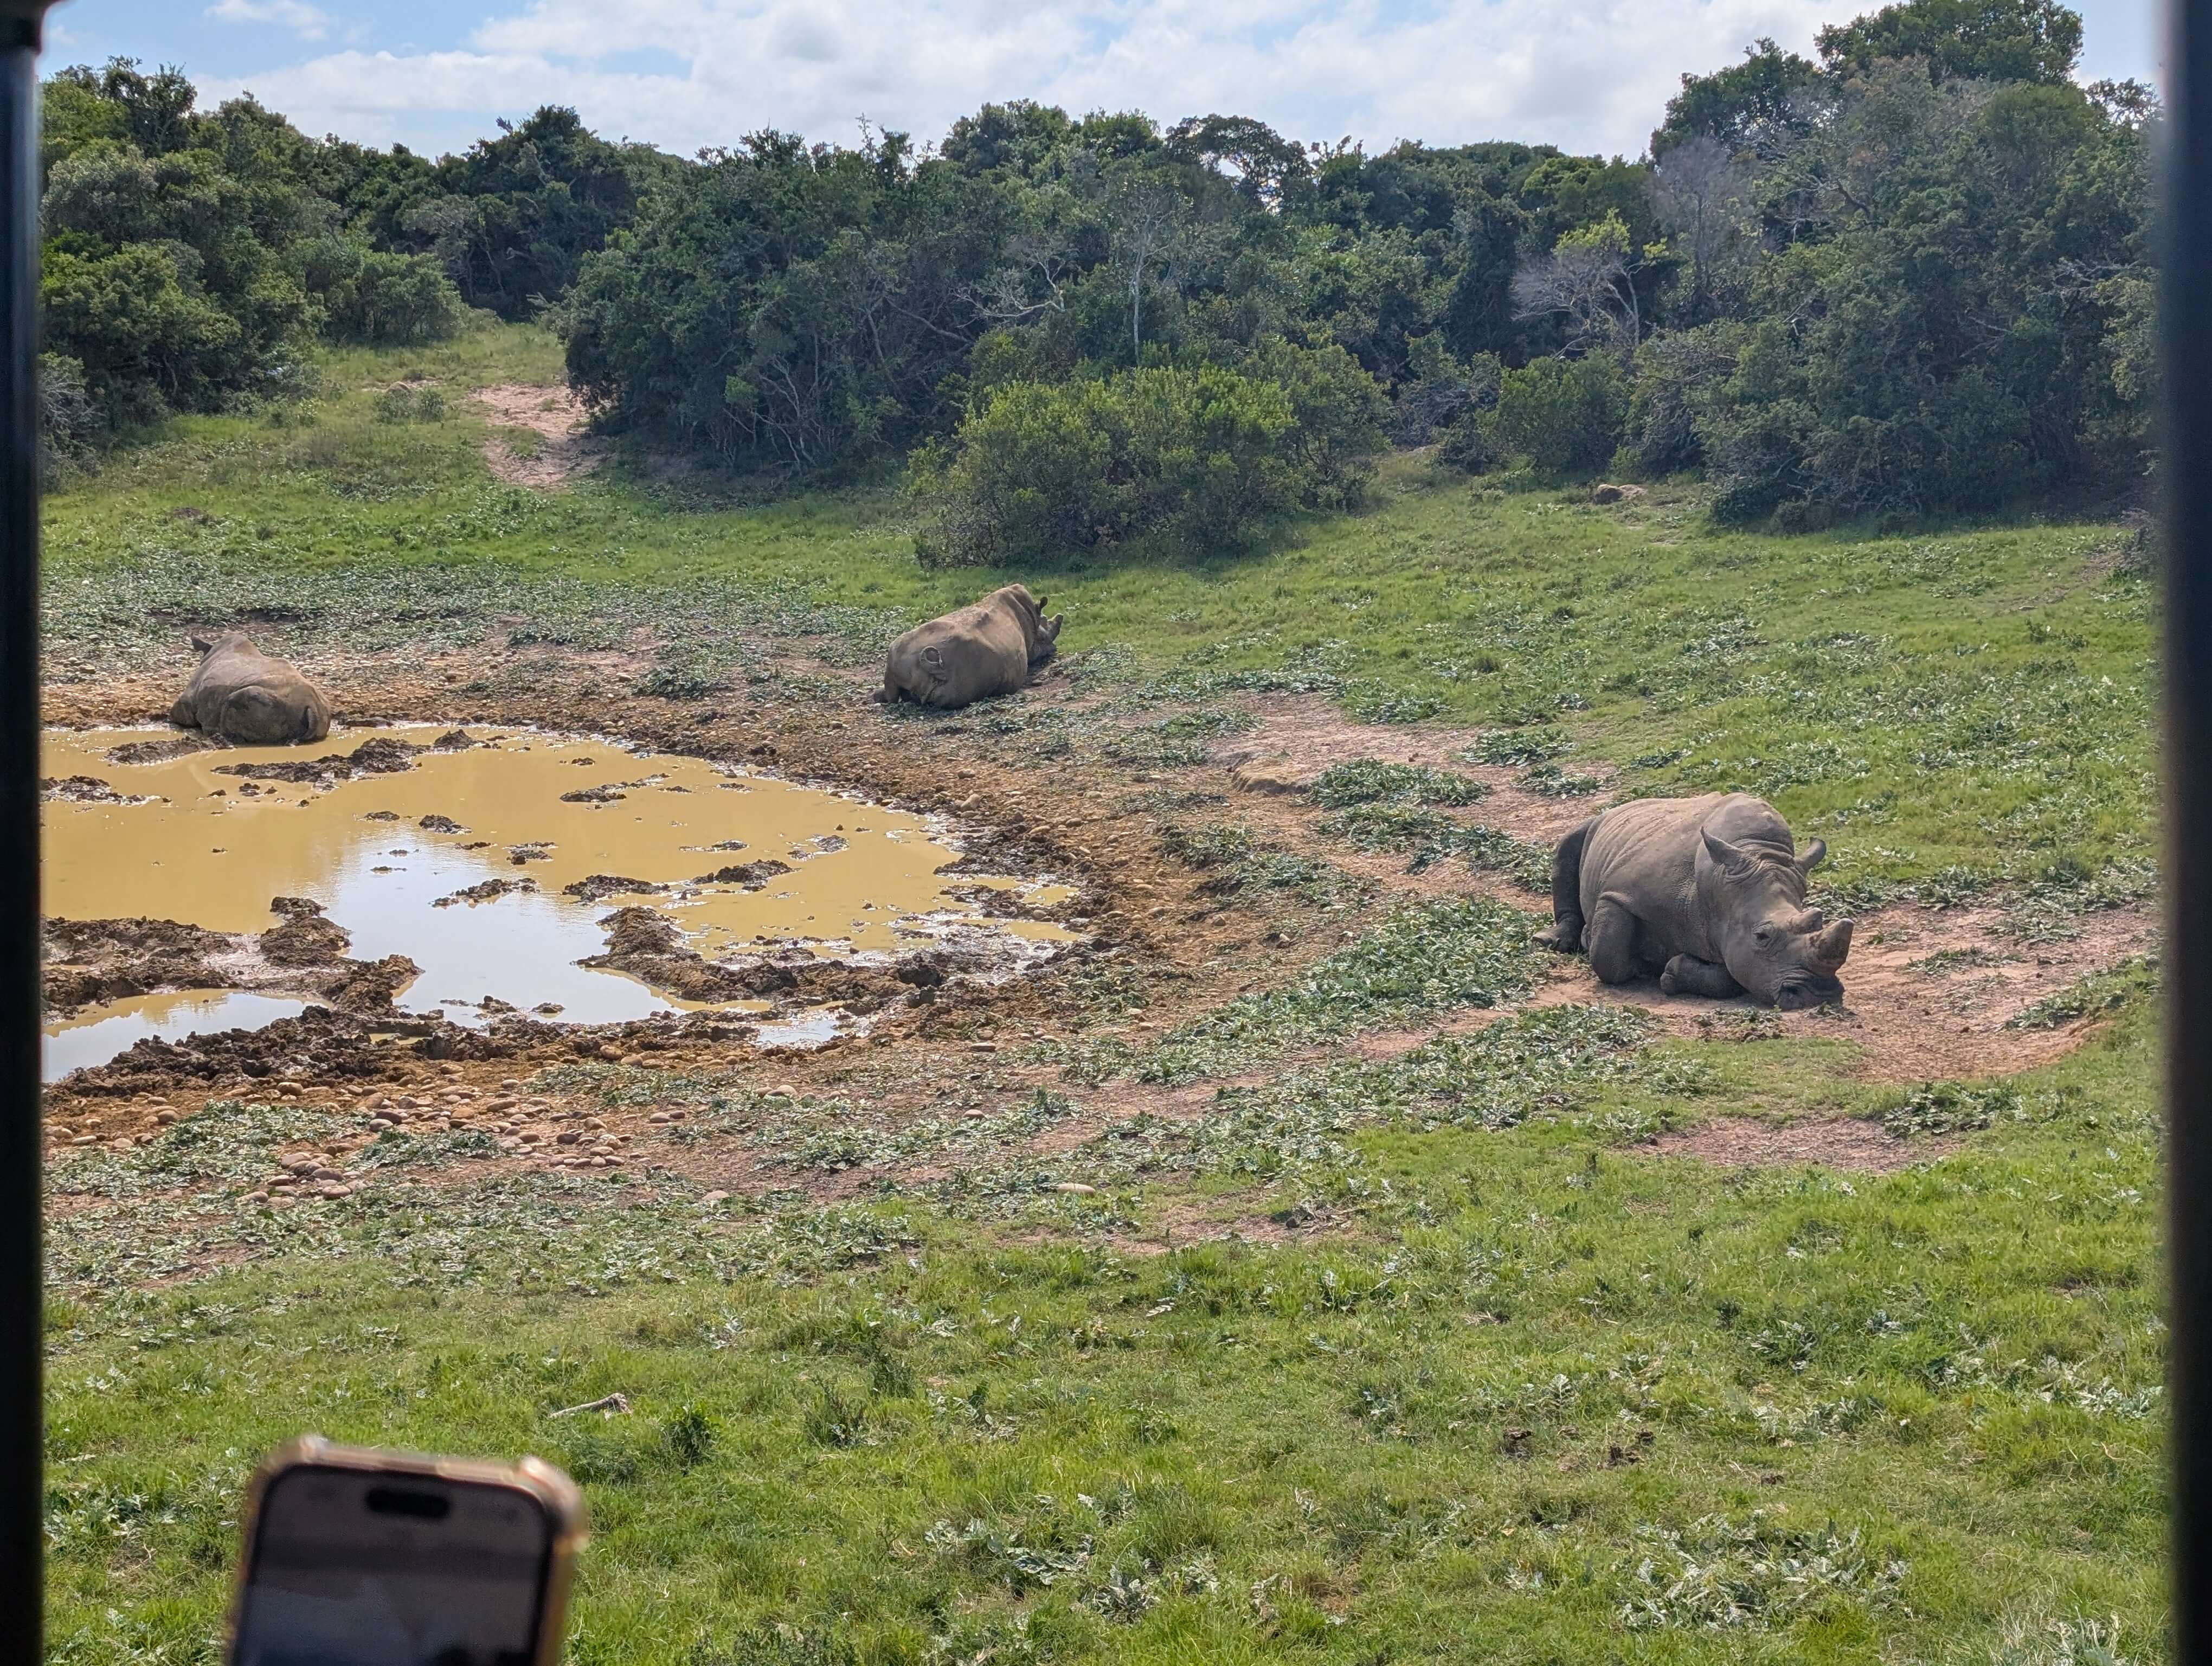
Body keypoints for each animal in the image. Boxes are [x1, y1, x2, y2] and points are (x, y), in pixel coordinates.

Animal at [169, 632, 332, 746]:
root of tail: (313, 709)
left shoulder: (187, 700)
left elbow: (177, 714)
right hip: (318, 708)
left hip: (273, 704)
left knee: (236, 699)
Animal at [877, 585, 1063, 710]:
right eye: (1047, 628)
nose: (1055, 648)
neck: (1035, 616)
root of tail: (932, 667)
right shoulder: (1033, 646)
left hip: (897, 652)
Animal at [1536, 792, 1853, 1010]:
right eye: (1761, 936)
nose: (1819, 994)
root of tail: (1623, 806)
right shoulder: (1620, 894)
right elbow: (1607, 957)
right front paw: (1633, 960)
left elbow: (1731, 976)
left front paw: (1671, 972)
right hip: (1598, 824)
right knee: (1570, 842)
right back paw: (1553, 940)